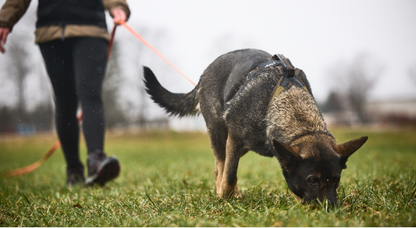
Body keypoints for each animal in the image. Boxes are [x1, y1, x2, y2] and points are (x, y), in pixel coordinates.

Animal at [144, 49, 368, 206]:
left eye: (336, 179)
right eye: (312, 180)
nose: (331, 209)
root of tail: (204, 74)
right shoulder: (235, 139)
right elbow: (229, 175)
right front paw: (224, 199)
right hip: (219, 133)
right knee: (221, 166)